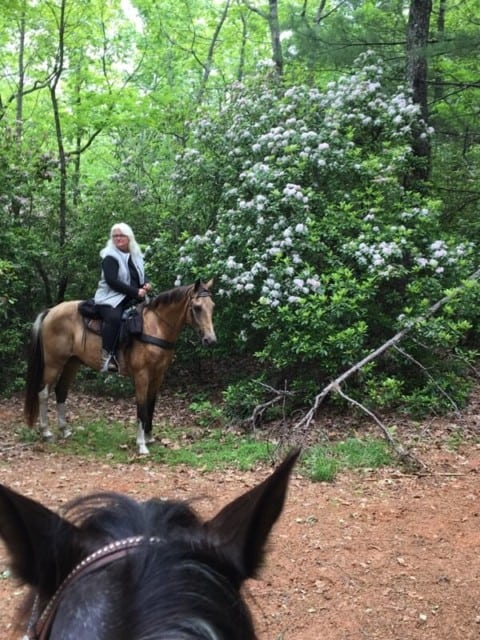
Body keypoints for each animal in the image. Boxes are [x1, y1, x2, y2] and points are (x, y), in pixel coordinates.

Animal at [24, 280, 216, 456]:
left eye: (212, 306)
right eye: (197, 307)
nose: (210, 340)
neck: (156, 327)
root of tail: (50, 312)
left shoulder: (158, 375)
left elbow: (151, 405)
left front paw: (149, 437)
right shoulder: (141, 375)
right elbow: (141, 407)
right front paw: (141, 445)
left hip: (72, 362)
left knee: (61, 391)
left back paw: (65, 430)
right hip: (53, 363)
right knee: (43, 393)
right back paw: (46, 432)